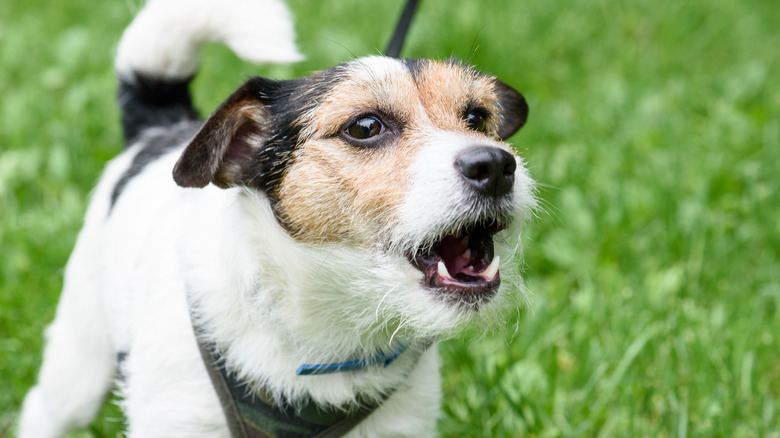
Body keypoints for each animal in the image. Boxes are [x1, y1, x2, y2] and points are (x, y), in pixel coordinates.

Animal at [22, 0, 536, 436]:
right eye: (366, 126)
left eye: (477, 117)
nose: (496, 166)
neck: (327, 333)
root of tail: (161, 127)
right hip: (79, 365)